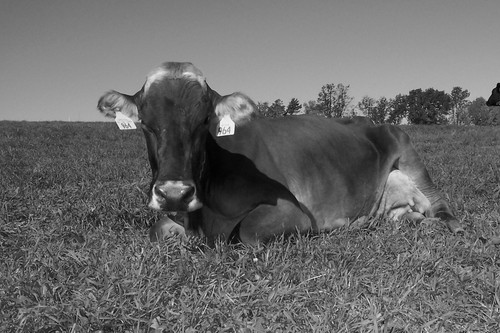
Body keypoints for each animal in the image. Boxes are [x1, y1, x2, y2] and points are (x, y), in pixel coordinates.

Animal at [95, 61, 462, 244]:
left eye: (204, 121)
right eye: (145, 123)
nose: (174, 193)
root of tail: (368, 119)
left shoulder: (294, 211)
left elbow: (246, 232)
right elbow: (156, 231)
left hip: (409, 153)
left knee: (441, 204)